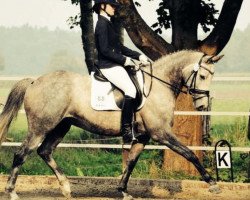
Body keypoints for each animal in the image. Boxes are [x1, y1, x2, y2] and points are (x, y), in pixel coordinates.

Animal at [0, 49, 223, 198]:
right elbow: (189, 154)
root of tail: (34, 81)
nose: (202, 106)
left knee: (45, 151)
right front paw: (212, 183)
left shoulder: (143, 137)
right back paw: (12, 192)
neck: (158, 85)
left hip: (62, 126)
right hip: (41, 127)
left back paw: (66, 188)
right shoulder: (161, 133)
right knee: (21, 154)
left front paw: (123, 191)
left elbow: (131, 162)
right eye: (203, 75)